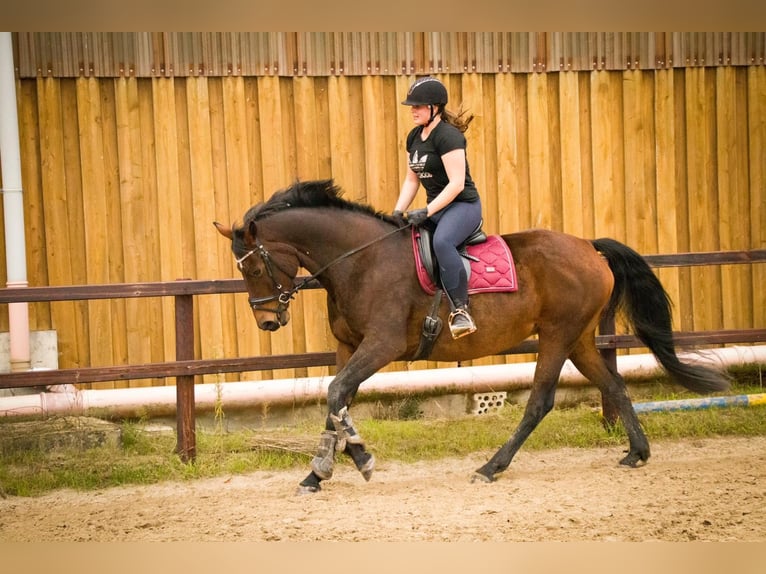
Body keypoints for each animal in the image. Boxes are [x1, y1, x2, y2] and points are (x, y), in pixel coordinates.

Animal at [216, 180, 732, 496]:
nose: (267, 321)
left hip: (558, 335)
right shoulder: (348, 347)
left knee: (540, 401)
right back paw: (636, 453)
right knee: (615, 387)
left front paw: (359, 460)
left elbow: (337, 393)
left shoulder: (382, 345)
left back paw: (491, 467)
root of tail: (589, 247)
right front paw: (317, 473)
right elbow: (334, 401)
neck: (359, 260)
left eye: (255, 266)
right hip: (581, 339)